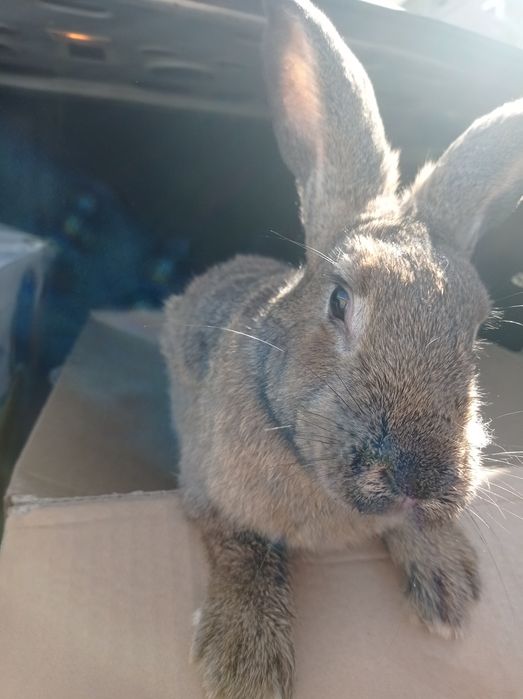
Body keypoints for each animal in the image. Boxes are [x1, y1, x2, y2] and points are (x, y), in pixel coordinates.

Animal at [161, 1, 523, 697]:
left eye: (474, 330)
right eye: (338, 301)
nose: (419, 478)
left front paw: (449, 588)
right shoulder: (205, 487)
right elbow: (243, 546)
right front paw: (246, 664)